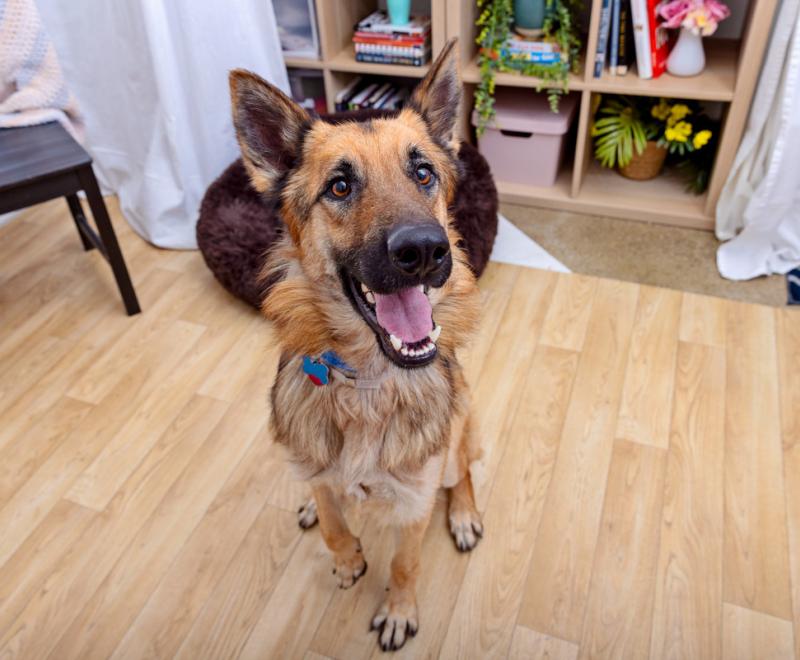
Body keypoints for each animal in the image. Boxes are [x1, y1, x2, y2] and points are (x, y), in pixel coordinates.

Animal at [228, 38, 484, 652]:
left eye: (423, 173)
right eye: (339, 187)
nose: (425, 251)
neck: (368, 380)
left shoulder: (414, 503)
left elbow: (405, 564)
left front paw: (398, 610)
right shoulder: (314, 462)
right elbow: (332, 517)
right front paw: (345, 558)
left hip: (456, 439)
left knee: (462, 470)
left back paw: (463, 514)